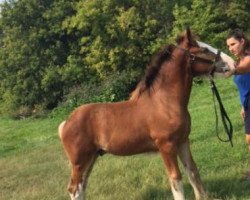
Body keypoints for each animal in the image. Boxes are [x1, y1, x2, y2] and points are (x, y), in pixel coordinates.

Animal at [58, 28, 229, 200]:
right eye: (204, 50)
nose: (231, 64)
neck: (163, 102)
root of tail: (66, 122)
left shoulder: (183, 141)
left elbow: (193, 171)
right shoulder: (166, 146)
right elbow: (176, 179)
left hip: (91, 158)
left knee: (82, 186)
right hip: (79, 162)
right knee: (74, 188)